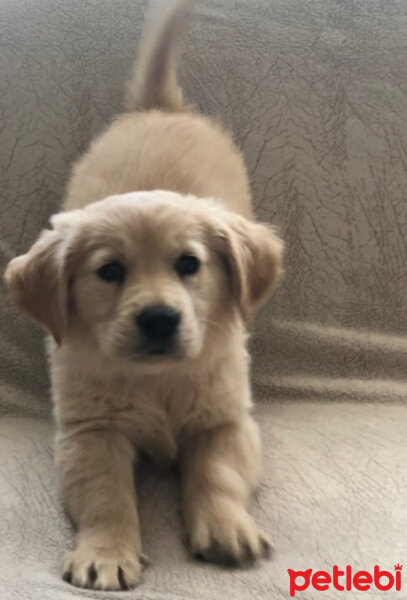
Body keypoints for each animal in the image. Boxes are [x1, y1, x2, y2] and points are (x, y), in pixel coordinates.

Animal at [4, 0, 284, 592]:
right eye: (110, 271)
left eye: (189, 265)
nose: (158, 319)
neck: (158, 382)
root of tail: (158, 106)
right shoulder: (92, 432)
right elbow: (107, 496)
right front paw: (107, 554)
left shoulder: (226, 421)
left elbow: (218, 473)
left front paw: (228, 527)